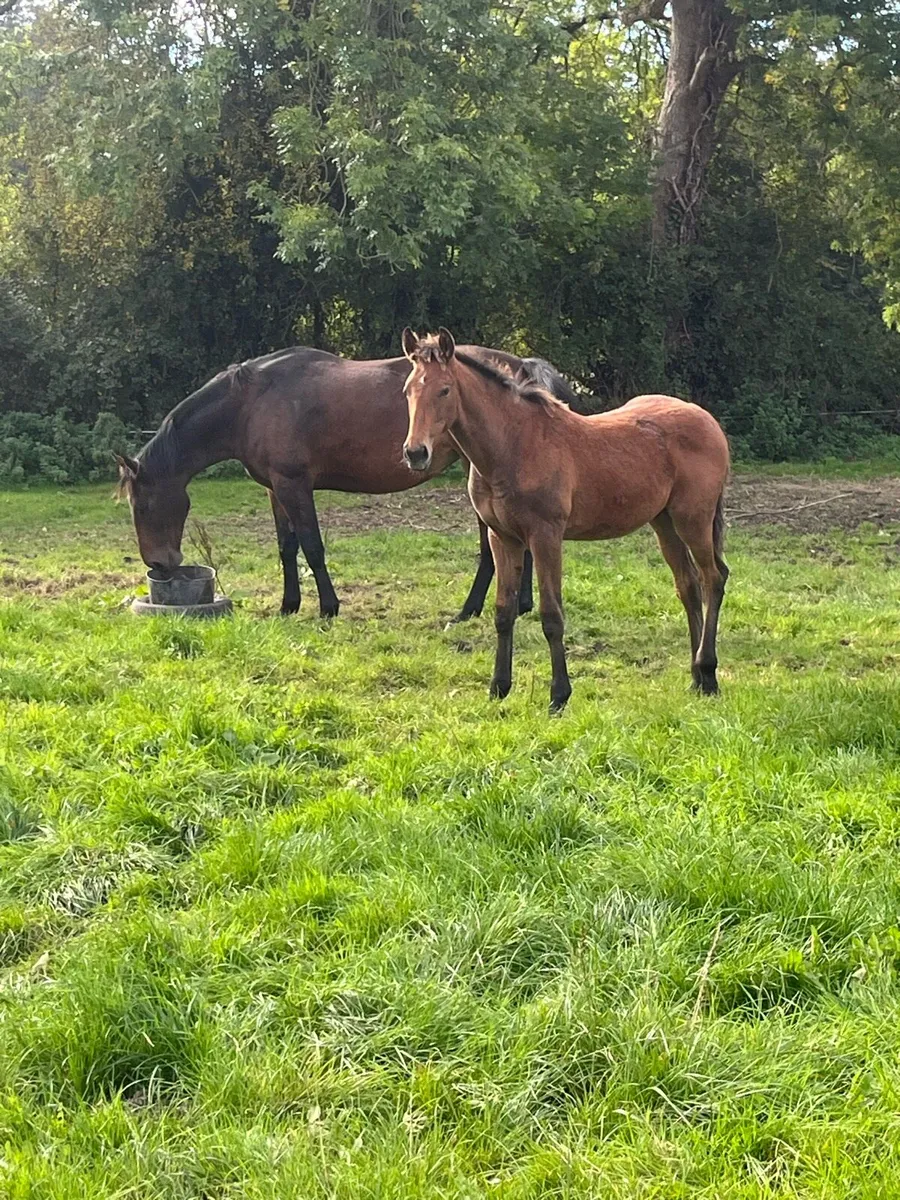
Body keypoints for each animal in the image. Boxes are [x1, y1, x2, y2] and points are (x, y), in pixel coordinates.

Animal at [115, 344, 578, 621]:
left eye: (144, 505)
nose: (159, 565)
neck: (250, 402)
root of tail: (521, 367)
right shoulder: (275, 489)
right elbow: (287, 549)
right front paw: (289, 605)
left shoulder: (295, 485)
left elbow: (312, 548)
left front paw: (328, 607)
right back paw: (521, 605)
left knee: (490, 551)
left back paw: (469, 610)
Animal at [401, 327, 731, 712]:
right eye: (408, 389)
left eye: (444, 389)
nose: (415, 453)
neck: (515, 445)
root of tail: (707, 419)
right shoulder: (503, 537)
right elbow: (503, 612)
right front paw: (498, 687)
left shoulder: (546, 536)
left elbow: (551, 615)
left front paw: (558, 696)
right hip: (664, 523)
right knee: (688, 586)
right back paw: (695, 678)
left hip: (693, 518)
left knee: (713, 578)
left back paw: (708, 673)